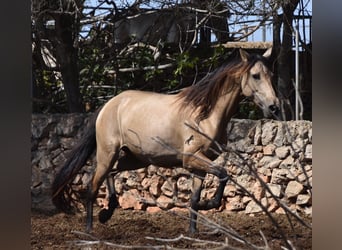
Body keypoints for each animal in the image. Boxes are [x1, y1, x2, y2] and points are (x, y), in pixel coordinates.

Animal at [51, 48, 280, 232]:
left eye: (271, 75)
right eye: (256, 75)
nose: (274, 107)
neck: (205, 115)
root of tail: (109, 105)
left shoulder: (199, 164)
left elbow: (195, 198)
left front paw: (193, 231)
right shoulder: (191, 158)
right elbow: (223, 174)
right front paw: (209, 205)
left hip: (135, 158)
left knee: (112, 172)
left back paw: (107, 212)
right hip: (108, 153)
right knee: (93, 184)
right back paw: (90, 228)